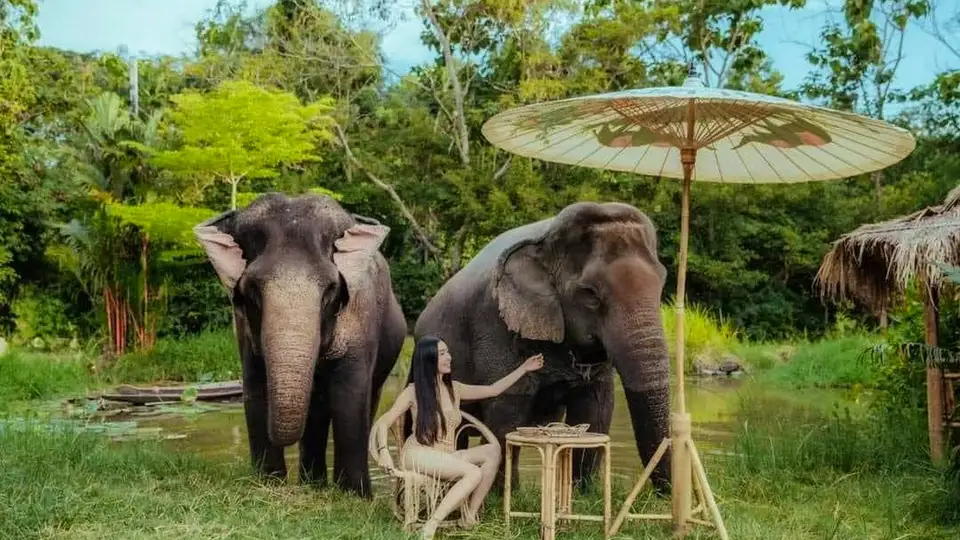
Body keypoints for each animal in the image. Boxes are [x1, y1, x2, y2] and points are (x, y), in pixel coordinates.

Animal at [195, 192, 407, 498]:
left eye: (330, 289)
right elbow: (255, 389)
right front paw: (268, 484)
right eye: (252, 289)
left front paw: (354, 496)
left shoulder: (360, 314)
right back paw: (313, 485)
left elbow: (349, 395)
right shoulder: (243, 328)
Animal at [413, 201, 671, 493]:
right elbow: (506, 411)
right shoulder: (494, 324)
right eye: (590, 294)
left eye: (663, 281)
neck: (545, 241)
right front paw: (502, 495)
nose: (662, 495)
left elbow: (596, 408)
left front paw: (582, 494)